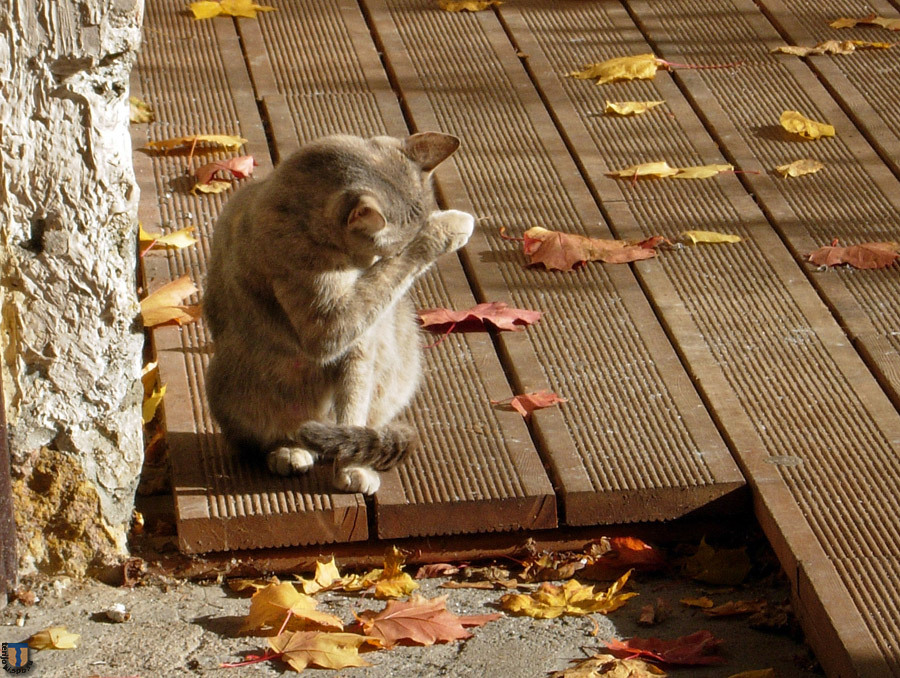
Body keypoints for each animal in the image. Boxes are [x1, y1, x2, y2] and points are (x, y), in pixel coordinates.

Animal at [201, 131, 474, 494]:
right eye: (392, 251)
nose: (371, 266)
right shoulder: (329, 327)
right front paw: (449, 226)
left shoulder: (360, 350)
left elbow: (353, 413)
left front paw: (352, 468)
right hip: (231, 378)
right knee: (272, 435)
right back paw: (290, 450)